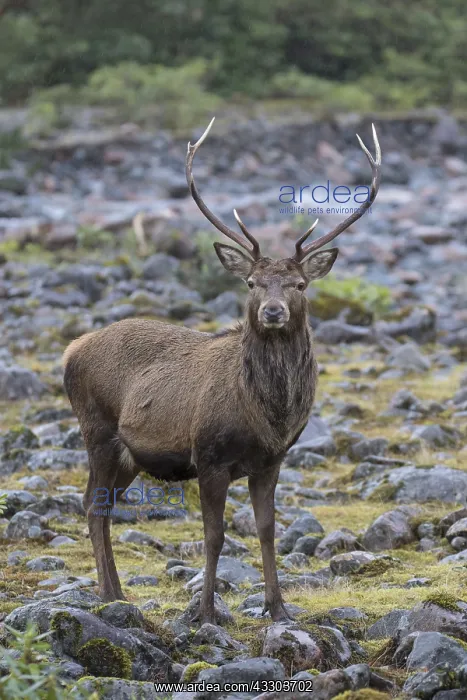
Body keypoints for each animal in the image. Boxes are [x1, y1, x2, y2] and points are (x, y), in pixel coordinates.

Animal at [63, 119, 381, 625]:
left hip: (130, 454)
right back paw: (110, 595)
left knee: (103, 507)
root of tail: (71, 350)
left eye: (299, 284)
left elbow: (268, 531)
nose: (273, 311)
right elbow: (214, 536)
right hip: (97, 430)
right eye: (251, 282)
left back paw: (117, 593)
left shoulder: (272, 461)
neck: (268, 417)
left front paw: (278, 607)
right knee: (93, 507)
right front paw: (206, 611)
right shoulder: (209, 456)